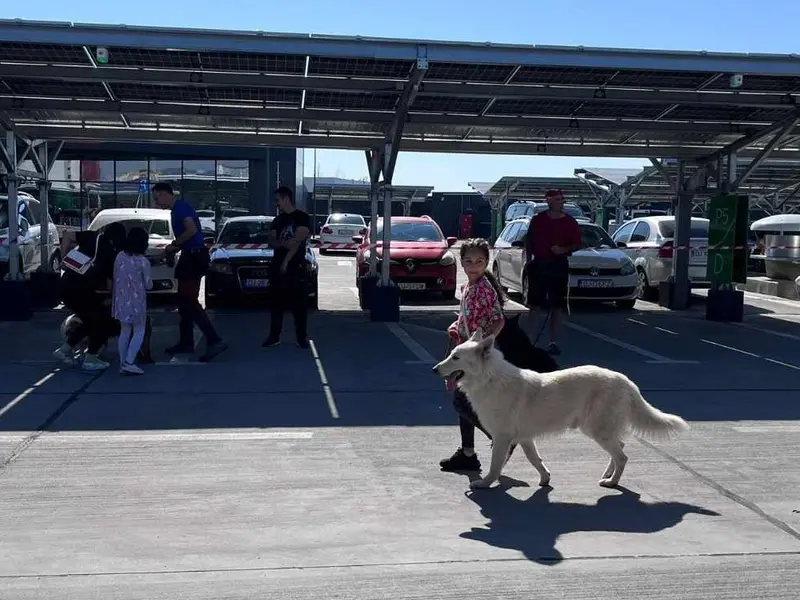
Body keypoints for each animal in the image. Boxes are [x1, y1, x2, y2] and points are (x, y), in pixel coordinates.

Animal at [432, 330, 688, 490]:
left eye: (455, 357)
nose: (434, 369)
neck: (489, 379)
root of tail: (626, 381)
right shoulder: (525, 439)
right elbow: (535, 460)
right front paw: (545, 478)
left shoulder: (503, 437)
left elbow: (496, 465)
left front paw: (485, 483)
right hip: (598, 430)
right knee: (621, 448)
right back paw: (608, 474)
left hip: (597, 430)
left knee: (623, 456)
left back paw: (612, 482)